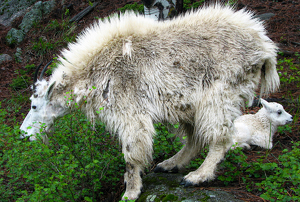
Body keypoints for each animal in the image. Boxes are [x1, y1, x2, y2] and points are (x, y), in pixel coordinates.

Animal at [20, 4, 278, 200]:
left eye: (34, 105)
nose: (23, 135)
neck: (93, 70)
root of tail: (264, 46)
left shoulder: (129, 111)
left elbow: (131, 154)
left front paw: (130, 192)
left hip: (220, 94)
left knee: (220, 137)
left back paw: (197, 176)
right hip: (191, 104)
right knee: (194, 138)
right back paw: (171, 164)